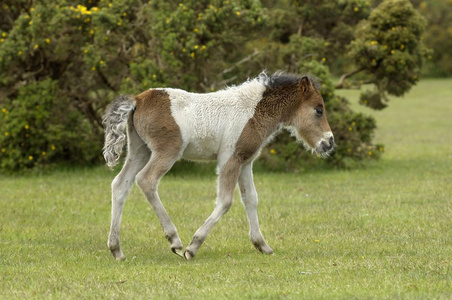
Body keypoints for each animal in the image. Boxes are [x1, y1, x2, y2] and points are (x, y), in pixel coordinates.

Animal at [103, 72, 336, 260]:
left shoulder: (245, 161)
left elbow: (251, 199)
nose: (329, 142)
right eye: (318, 110)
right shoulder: (229, 159)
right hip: (167, 151)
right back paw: (175, 240)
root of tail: (138, 99)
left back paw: (117, 250)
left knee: (120, 185)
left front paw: (262, 245)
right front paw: (193, 247)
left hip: (139, 151)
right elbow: (225, 201)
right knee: (146, 180)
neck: (252, 111)